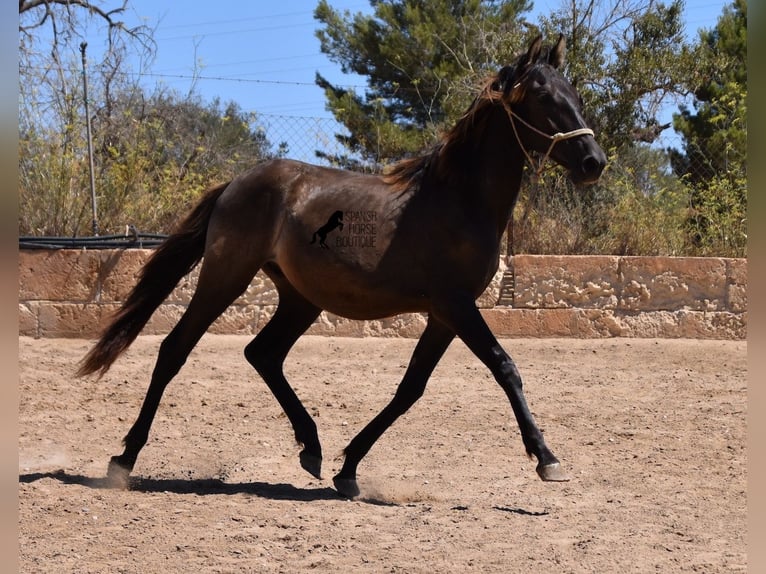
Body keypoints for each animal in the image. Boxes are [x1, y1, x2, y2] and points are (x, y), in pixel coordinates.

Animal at [76, 36, 608, 502]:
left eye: (576, 95)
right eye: (542, 97)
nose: (593, 162)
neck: (458, 200)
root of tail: (237, 183)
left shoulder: (443, 315)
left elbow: (410, 388)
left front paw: (348, 468)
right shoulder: (456, 305)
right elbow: (505, 367)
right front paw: (547, 459)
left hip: (299, 298)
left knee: (262, 353)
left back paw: (311, 448)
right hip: (225, 276)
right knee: (175, 349)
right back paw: (123, 460)